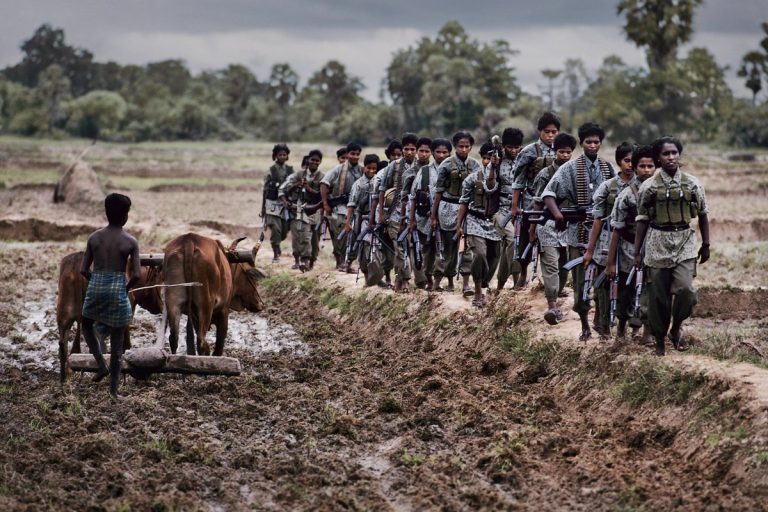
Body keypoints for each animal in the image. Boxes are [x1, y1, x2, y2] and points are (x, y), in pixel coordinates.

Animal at [57, 252, 164, 384]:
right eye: (158, 281)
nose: (161, 307)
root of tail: (77, 259)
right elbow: (125, 344)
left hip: (64, 315)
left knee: (63, 344)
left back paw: (64, 378)